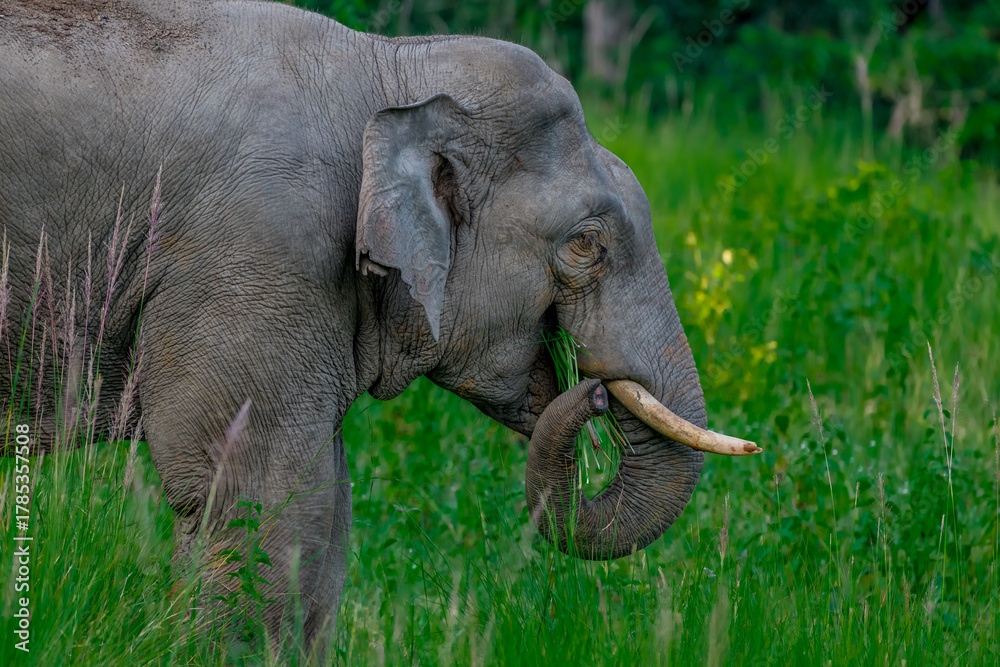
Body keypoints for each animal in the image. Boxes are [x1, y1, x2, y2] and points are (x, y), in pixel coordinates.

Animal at [0, 0, 756, 657]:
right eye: (586, 243)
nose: (593, 391)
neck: (392, 69)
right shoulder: (260, 252)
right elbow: (258, 496)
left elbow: (326, 510)